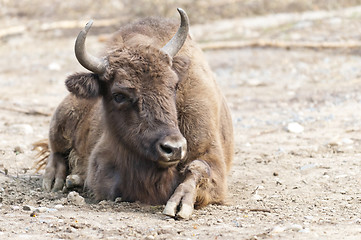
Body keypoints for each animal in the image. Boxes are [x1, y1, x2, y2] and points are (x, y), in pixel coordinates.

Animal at [40, 8, 233, 219]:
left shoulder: (211, 155)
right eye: (118, 95)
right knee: (56, 151)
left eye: (174, 85)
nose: (173, 148)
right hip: (61, 120)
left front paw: (179, 204)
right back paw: (55, 181)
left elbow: (198, 170)